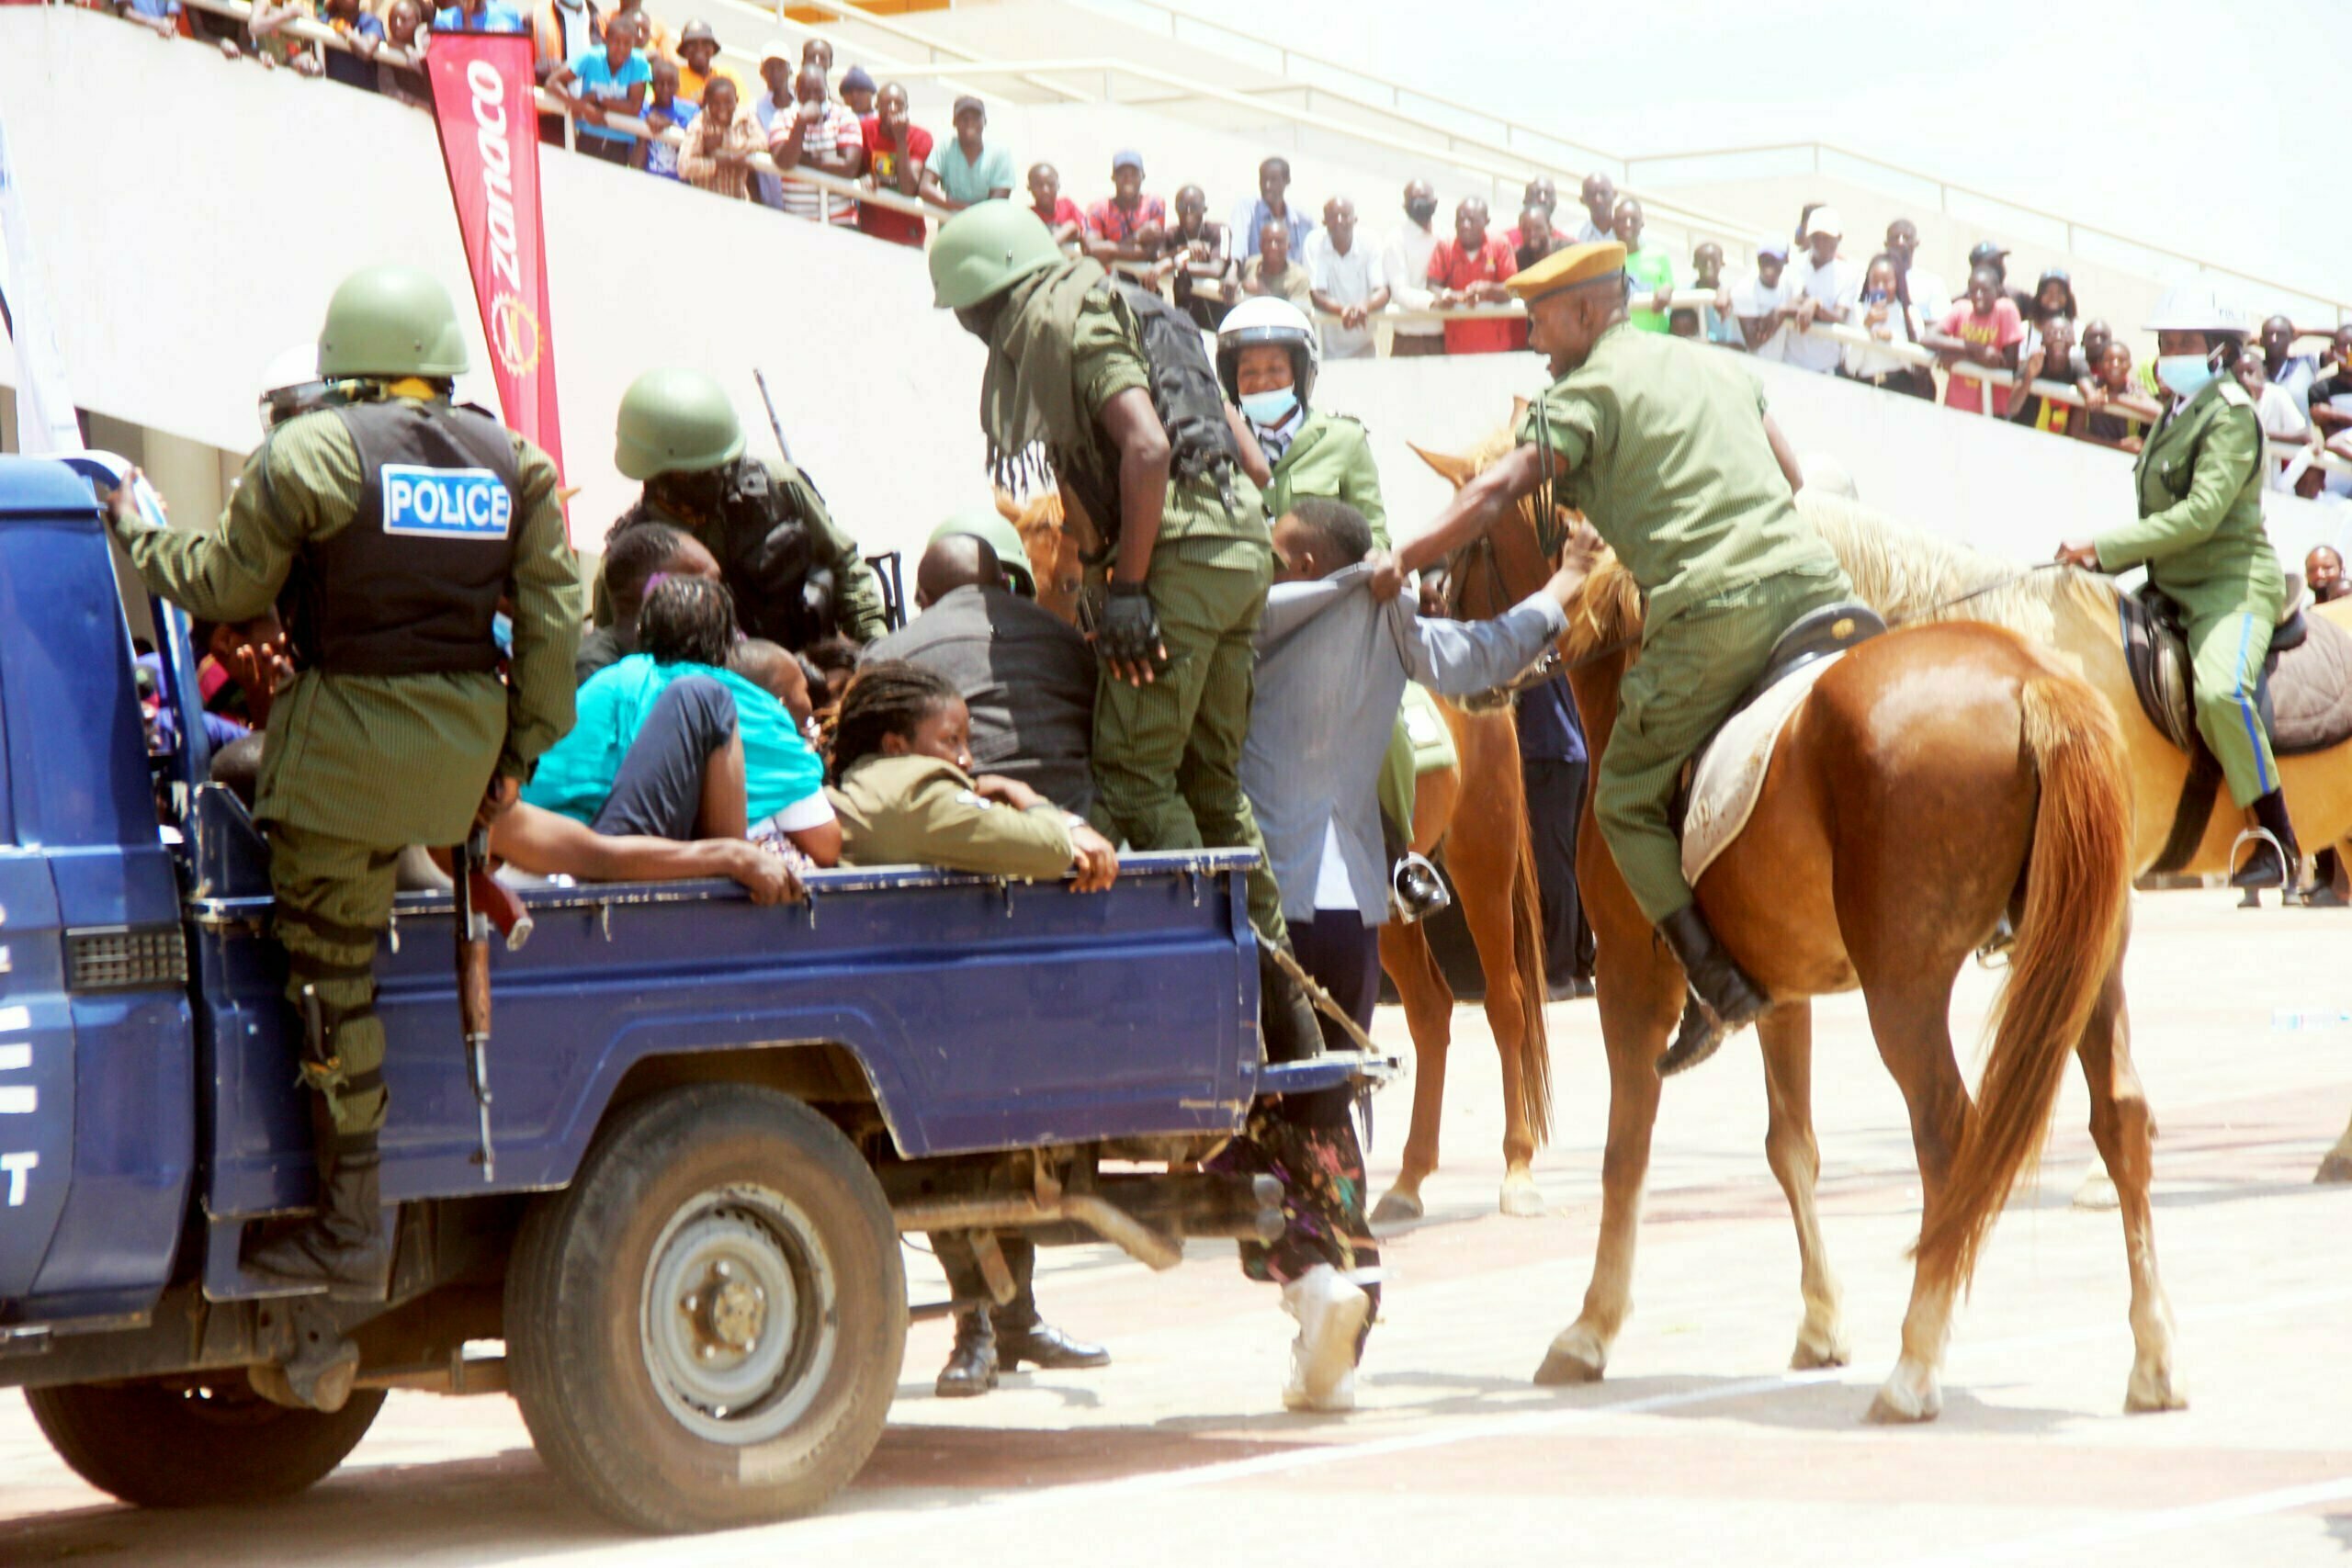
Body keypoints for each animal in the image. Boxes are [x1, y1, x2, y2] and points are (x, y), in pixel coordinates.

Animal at [992, 486, 1561, 1213]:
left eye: (1067, 581)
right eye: (1020, 575)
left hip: (1483, 855)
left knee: (1505, 1003)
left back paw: (1517, 1170)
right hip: (1379, 901)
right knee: (1431, 1011)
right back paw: (1407, 1179)